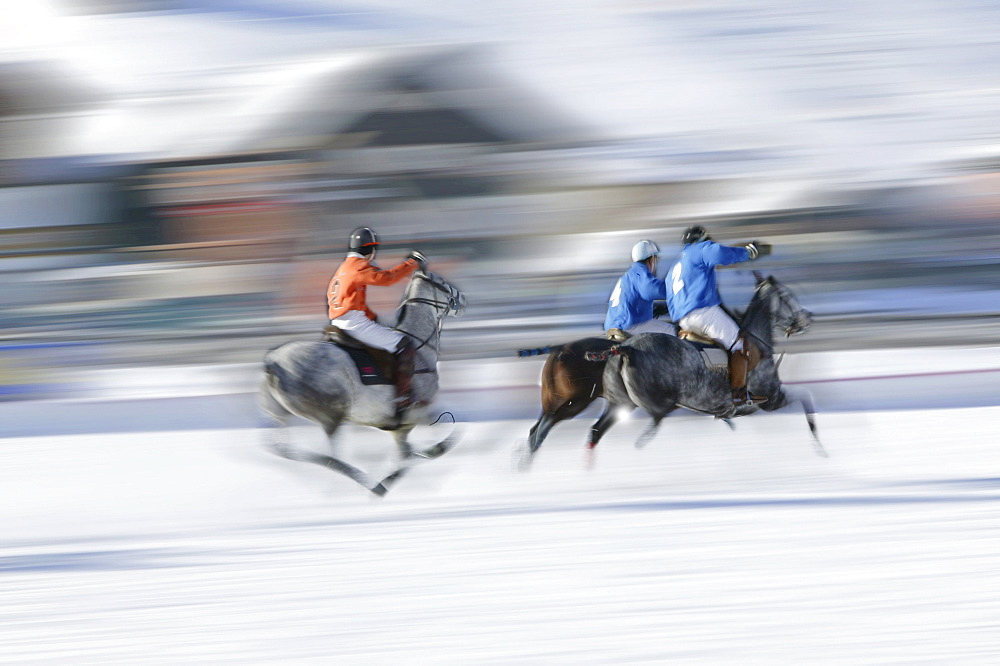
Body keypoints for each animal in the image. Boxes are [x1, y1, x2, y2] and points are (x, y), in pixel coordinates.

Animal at [260, 266, 466, 492]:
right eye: (443, 282)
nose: (463, 298)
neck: (419, 345)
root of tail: (273, 362)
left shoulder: (400, 428)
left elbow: (405, 454)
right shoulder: (420, 410)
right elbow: (444, 440)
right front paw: (430, 452)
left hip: (280, 414)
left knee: (283, 448)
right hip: (332, 413)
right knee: (331, 457)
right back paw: (366, 483)